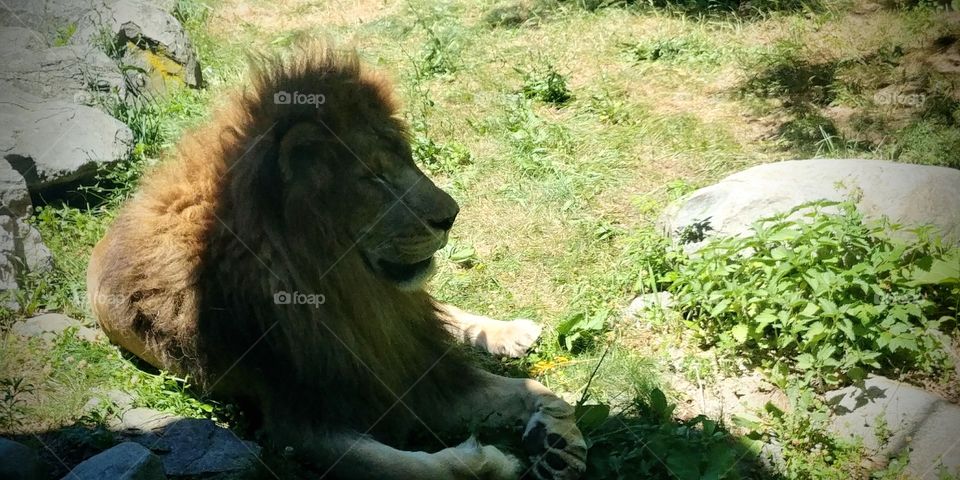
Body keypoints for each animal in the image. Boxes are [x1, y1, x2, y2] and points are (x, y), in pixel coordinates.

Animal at [86, 44, 586, 480]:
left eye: (408, 160)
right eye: (374, 178)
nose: (452, 215)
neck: (348, 298)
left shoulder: (408, 361)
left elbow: (540, 393)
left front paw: (559, 442)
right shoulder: (299, 422)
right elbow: (409, 467)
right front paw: (490, 463)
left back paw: (510, 332)